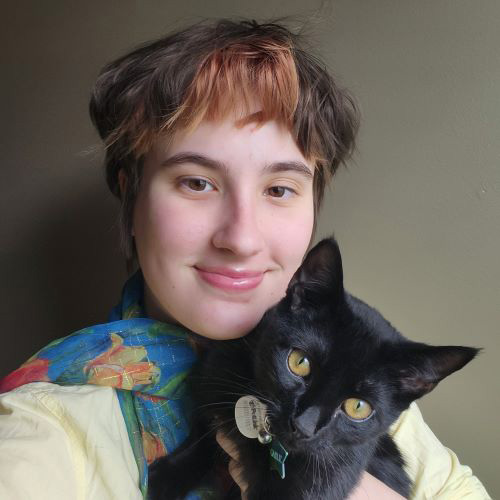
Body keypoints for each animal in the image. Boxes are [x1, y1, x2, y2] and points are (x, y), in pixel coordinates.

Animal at [149, 237, 480, 500]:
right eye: (299, 362)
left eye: (358, 407)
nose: (303, 426)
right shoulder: (216, 376)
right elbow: (203, 432)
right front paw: (167, 477)